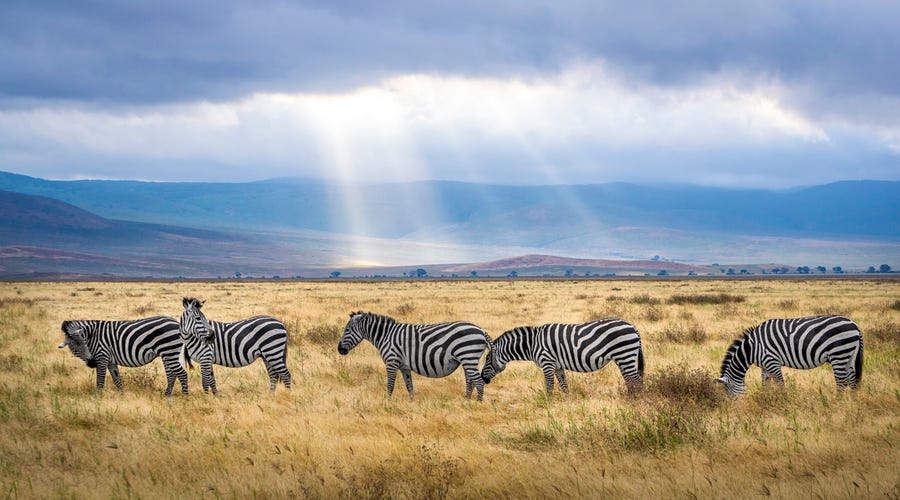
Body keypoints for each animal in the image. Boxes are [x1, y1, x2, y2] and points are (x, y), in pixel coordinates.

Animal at [56, 316, 190, 398]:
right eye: (75, 346)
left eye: (84, 343)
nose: (92, 363)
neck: (92, 336)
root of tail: (176, 322)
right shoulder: (110, 361)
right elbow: (117, 379)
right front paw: (122, 396)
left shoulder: (102, 357)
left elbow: (100, 381)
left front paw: (96, 399)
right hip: (167, 354)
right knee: (172, 375)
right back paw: (167, 396)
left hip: (169, 351)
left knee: (182, 374)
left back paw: (184, 398)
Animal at [338, 310, 492, 400]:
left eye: (347, 330)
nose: (339, 350)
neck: (385, 336)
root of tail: (481, 330)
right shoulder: (404, 366)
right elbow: (409, 385)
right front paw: (412, 403)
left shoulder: (392, 361)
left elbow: (390, 385)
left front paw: (388, 402)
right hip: (468, 359)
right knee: (470, 380)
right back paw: (466, 400)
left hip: (468, 356)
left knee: (479, 382)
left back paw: (477, 404)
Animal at [482, 318, 644, 396]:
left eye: (487, 360)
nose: (483, 378)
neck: (532, 344)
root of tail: (632, 326)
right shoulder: (558, 366)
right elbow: (564, 385)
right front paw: (567, 401)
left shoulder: (547, 363)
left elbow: (549, 386)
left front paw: (548, 403)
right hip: (625, 357)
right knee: (631, 380)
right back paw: (630, 398)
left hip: (624, 354)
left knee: (636, 380)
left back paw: (637, 401)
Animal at [716, 314, 864, 396]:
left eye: (728, 392)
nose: (735, 408)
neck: (752, 348)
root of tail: (855, 325)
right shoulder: (765, 365)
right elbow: (765, 384)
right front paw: (764, 399)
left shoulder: (772, 361)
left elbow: (781, 384)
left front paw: (784, 402)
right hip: (849, 355)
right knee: (852, 380)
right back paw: (853, 404)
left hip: (838, 354)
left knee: (841, 382)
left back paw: (836, 404)